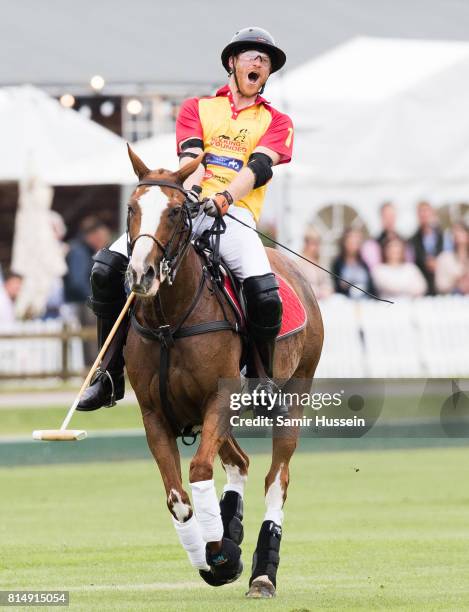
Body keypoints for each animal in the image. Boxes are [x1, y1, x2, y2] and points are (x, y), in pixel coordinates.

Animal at [122, 148, 324, 596]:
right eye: (131, 208)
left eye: (176, 211)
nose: (141, 274)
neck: (169, 322)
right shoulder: (153, 413)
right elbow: (177, 498)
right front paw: (214, 555)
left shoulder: (220, 397)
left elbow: (198, 470)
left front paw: (223, 556)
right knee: (240, 462)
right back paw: (230, 528)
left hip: (294, 393)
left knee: (276, 480)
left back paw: (262, 574)